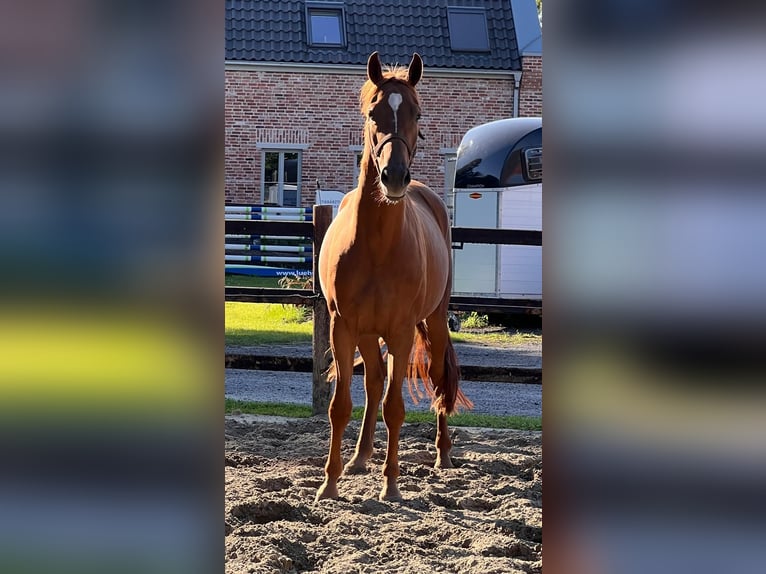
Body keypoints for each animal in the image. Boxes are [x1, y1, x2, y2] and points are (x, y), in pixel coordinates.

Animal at [316, 54, 472, 504]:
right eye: (374, 113)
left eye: (417, 113)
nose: (394, 177)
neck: (377, 245)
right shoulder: (343, 327)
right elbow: (341, 406)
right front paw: (329, 483)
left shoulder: (402, 331)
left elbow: (395, 408)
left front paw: (391, 484)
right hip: (368, 334)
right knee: (373, 382)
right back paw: (359, 457)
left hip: (433, 322)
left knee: (437, 380)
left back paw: (442, 454)